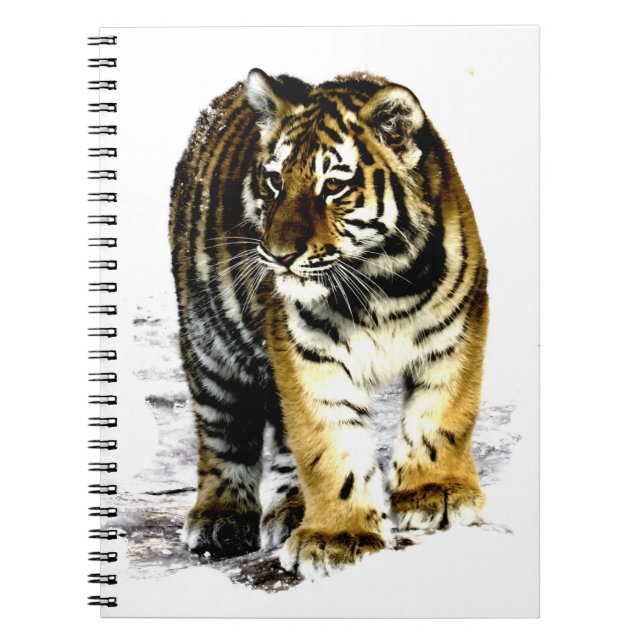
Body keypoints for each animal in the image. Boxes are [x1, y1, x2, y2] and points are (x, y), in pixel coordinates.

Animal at [169, 68, 489, 578]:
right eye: (274, 181)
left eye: (333, 187)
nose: (278, 256)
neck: (383, 282)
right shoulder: (307, 352)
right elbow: (329, 445)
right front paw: (339, 537)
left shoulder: (456, 331)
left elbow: (442, 416)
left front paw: (436, 494)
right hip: (210, 346)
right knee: (224, 433)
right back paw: (221, 519)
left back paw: (292, 510)